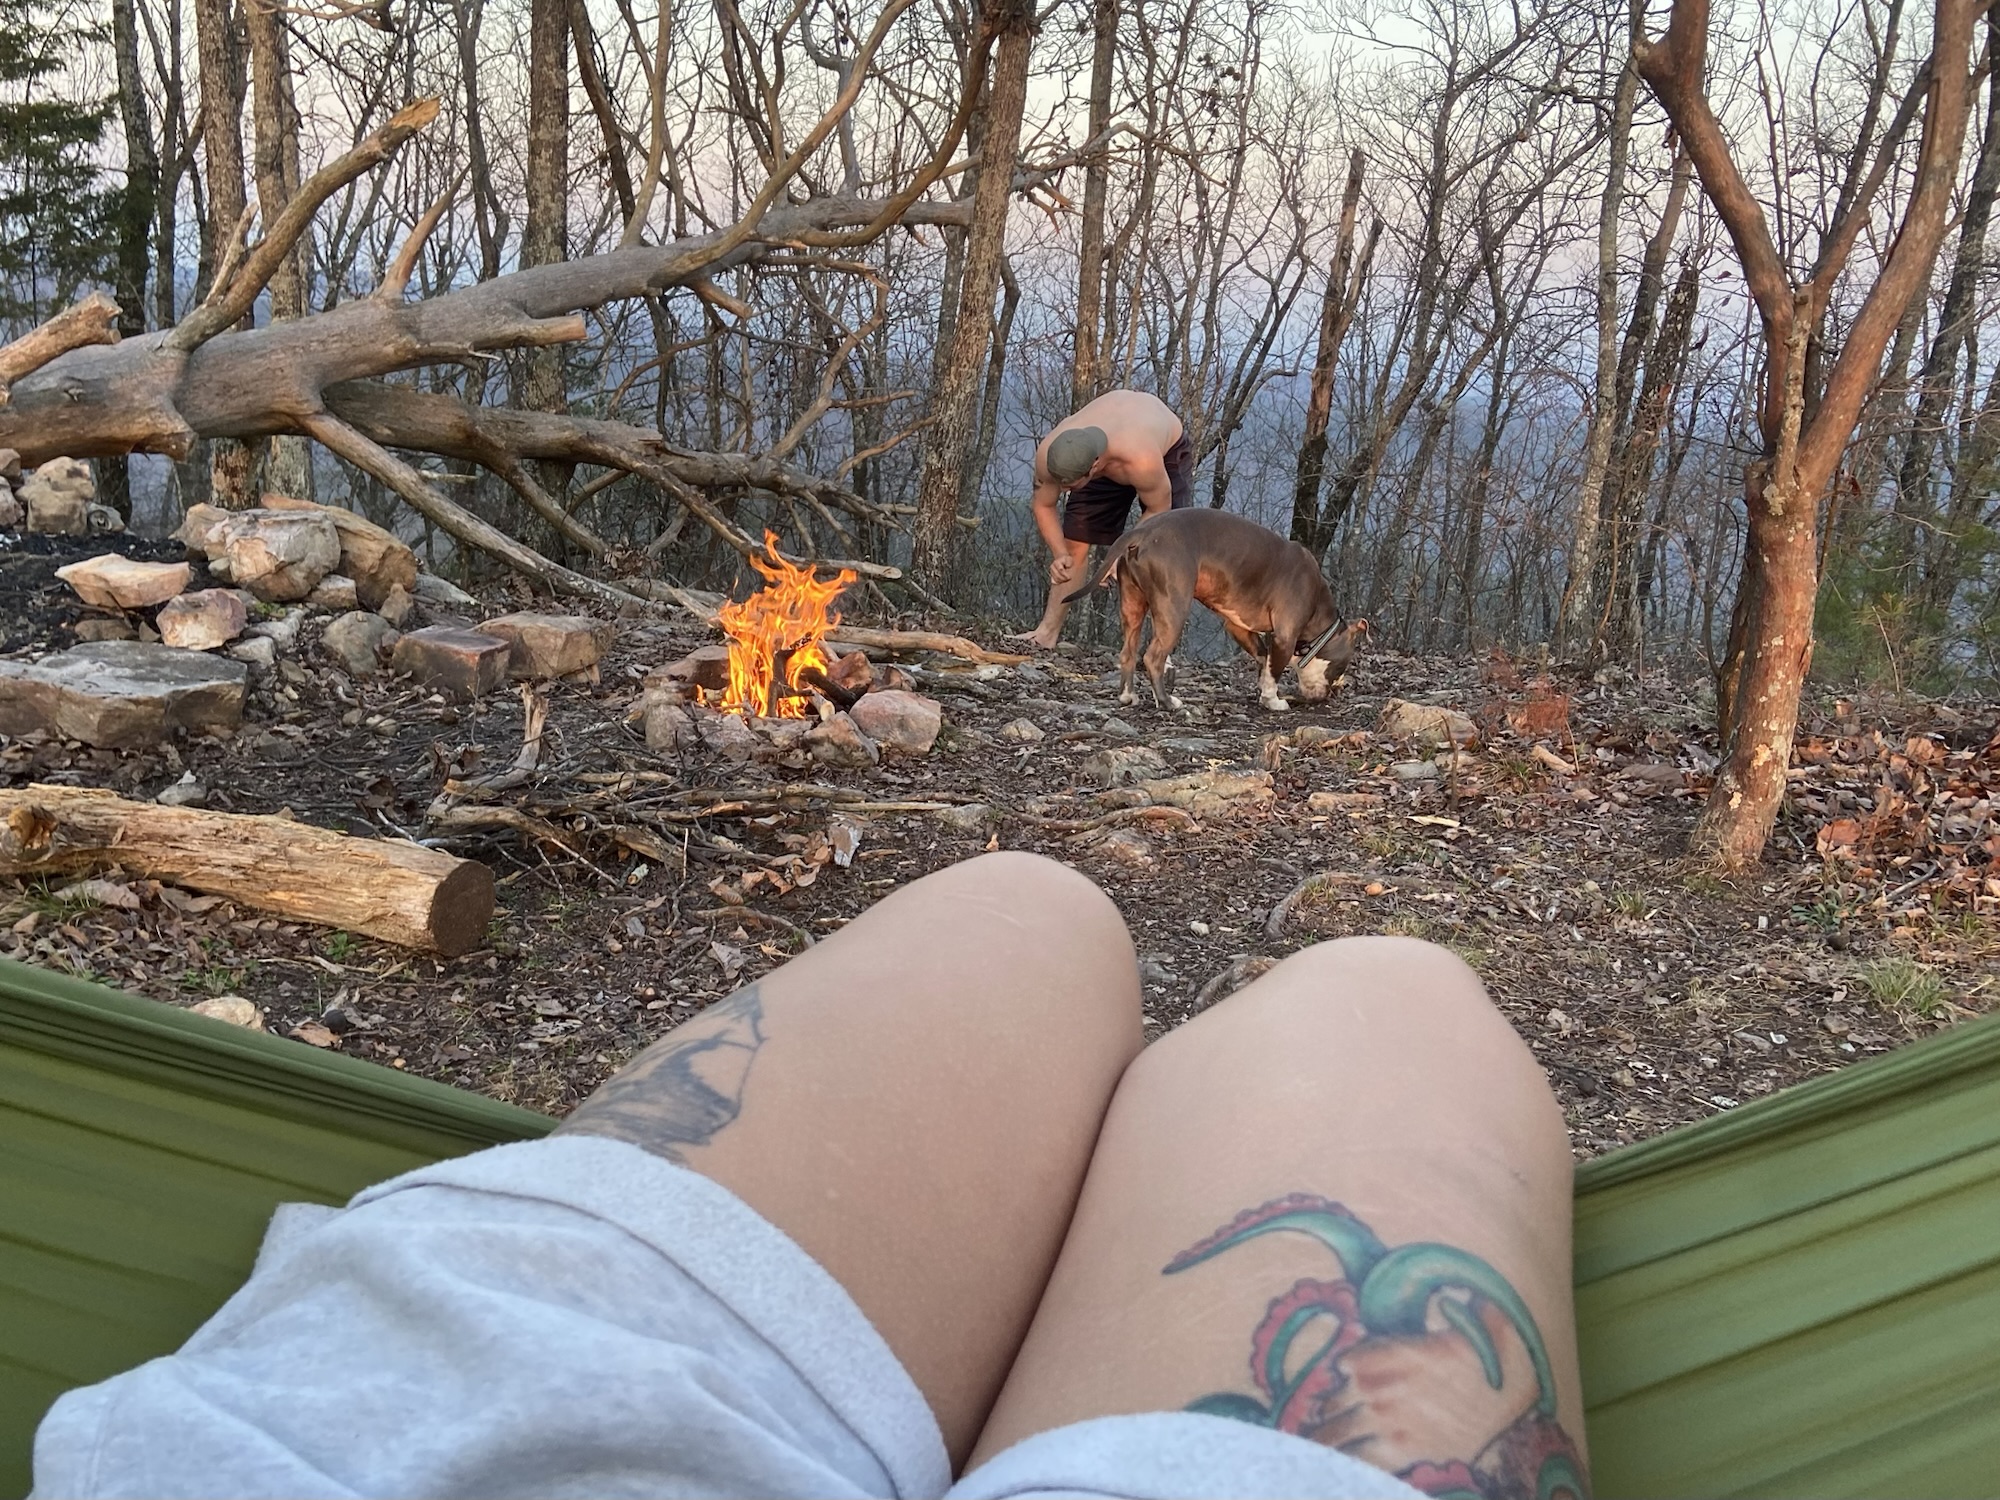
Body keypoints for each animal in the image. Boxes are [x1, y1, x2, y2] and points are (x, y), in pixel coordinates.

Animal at [1063, 509, 1364, 712]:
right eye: (1340, 667)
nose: (1328, 696)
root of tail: (1142, 532)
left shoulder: (1238, 626)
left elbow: (1263, 658)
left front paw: (1260, 688)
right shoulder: (1284, 636)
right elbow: (1274, 668)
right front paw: (1273, 700)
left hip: (1132, 606)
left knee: (1128, 652)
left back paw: (1128, 696)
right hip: (1173, 609)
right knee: (1153, 657)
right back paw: (1167, 702)